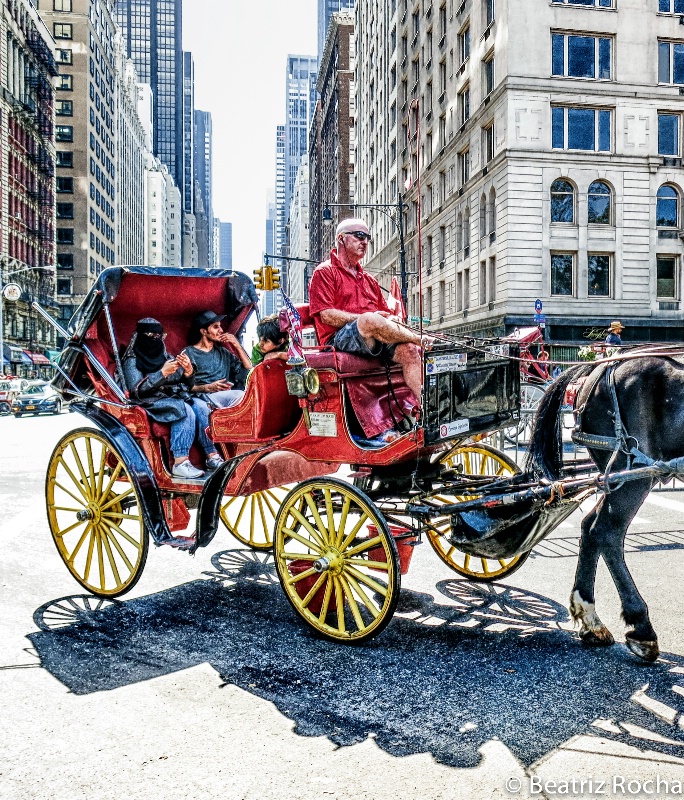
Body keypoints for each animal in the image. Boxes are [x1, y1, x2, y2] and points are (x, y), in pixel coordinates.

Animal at [524, 354, 684, 664]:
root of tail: (598, 367)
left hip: (618, 477)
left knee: (591, 526)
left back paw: (590, 618)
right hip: (632, 473)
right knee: (606, 531)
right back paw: (641, 627)